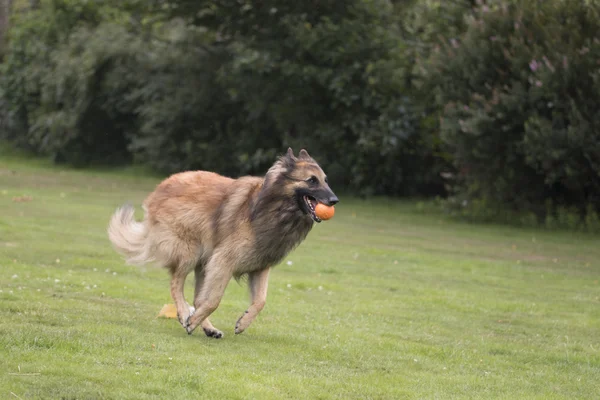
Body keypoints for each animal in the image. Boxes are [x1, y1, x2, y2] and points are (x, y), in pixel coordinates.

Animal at [107, 148, 338, 340]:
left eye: (326, 180)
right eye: (311, 180)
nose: (335, 200)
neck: (273, 207)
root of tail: (161, 187)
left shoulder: (260, 266)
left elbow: (260, 301)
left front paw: (243, 322)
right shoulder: (223, 261)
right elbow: (214, 299)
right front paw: (192, 321)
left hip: (203, 263)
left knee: (196, 298)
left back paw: (207, 327)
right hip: (190, 252)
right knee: (176, 284)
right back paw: (185, 314)